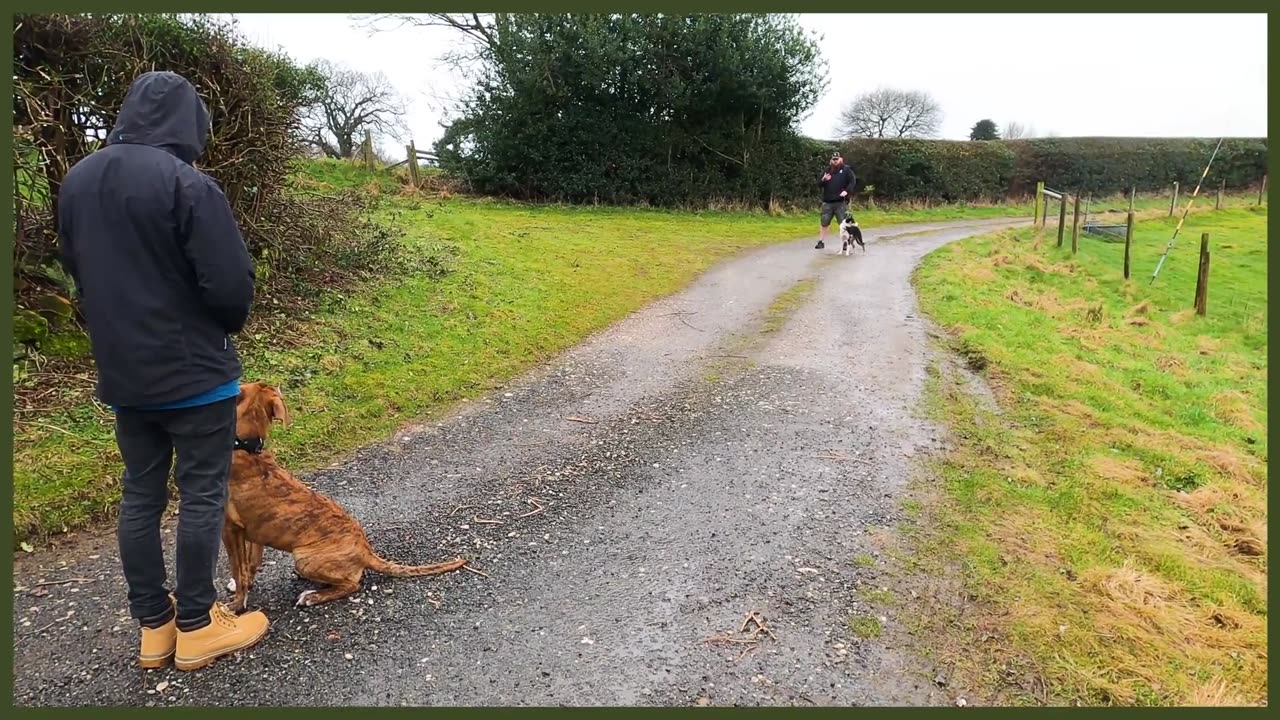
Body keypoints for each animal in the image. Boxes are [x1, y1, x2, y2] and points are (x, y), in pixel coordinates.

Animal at [224, 381, 465, 604]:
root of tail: (366, 552)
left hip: (303, 557)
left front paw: (236, 605)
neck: (247, 447)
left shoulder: (230, 530)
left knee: (352, 585)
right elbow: (250, 564)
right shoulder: (254, 533)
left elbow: (239, 569)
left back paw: (313, 596)